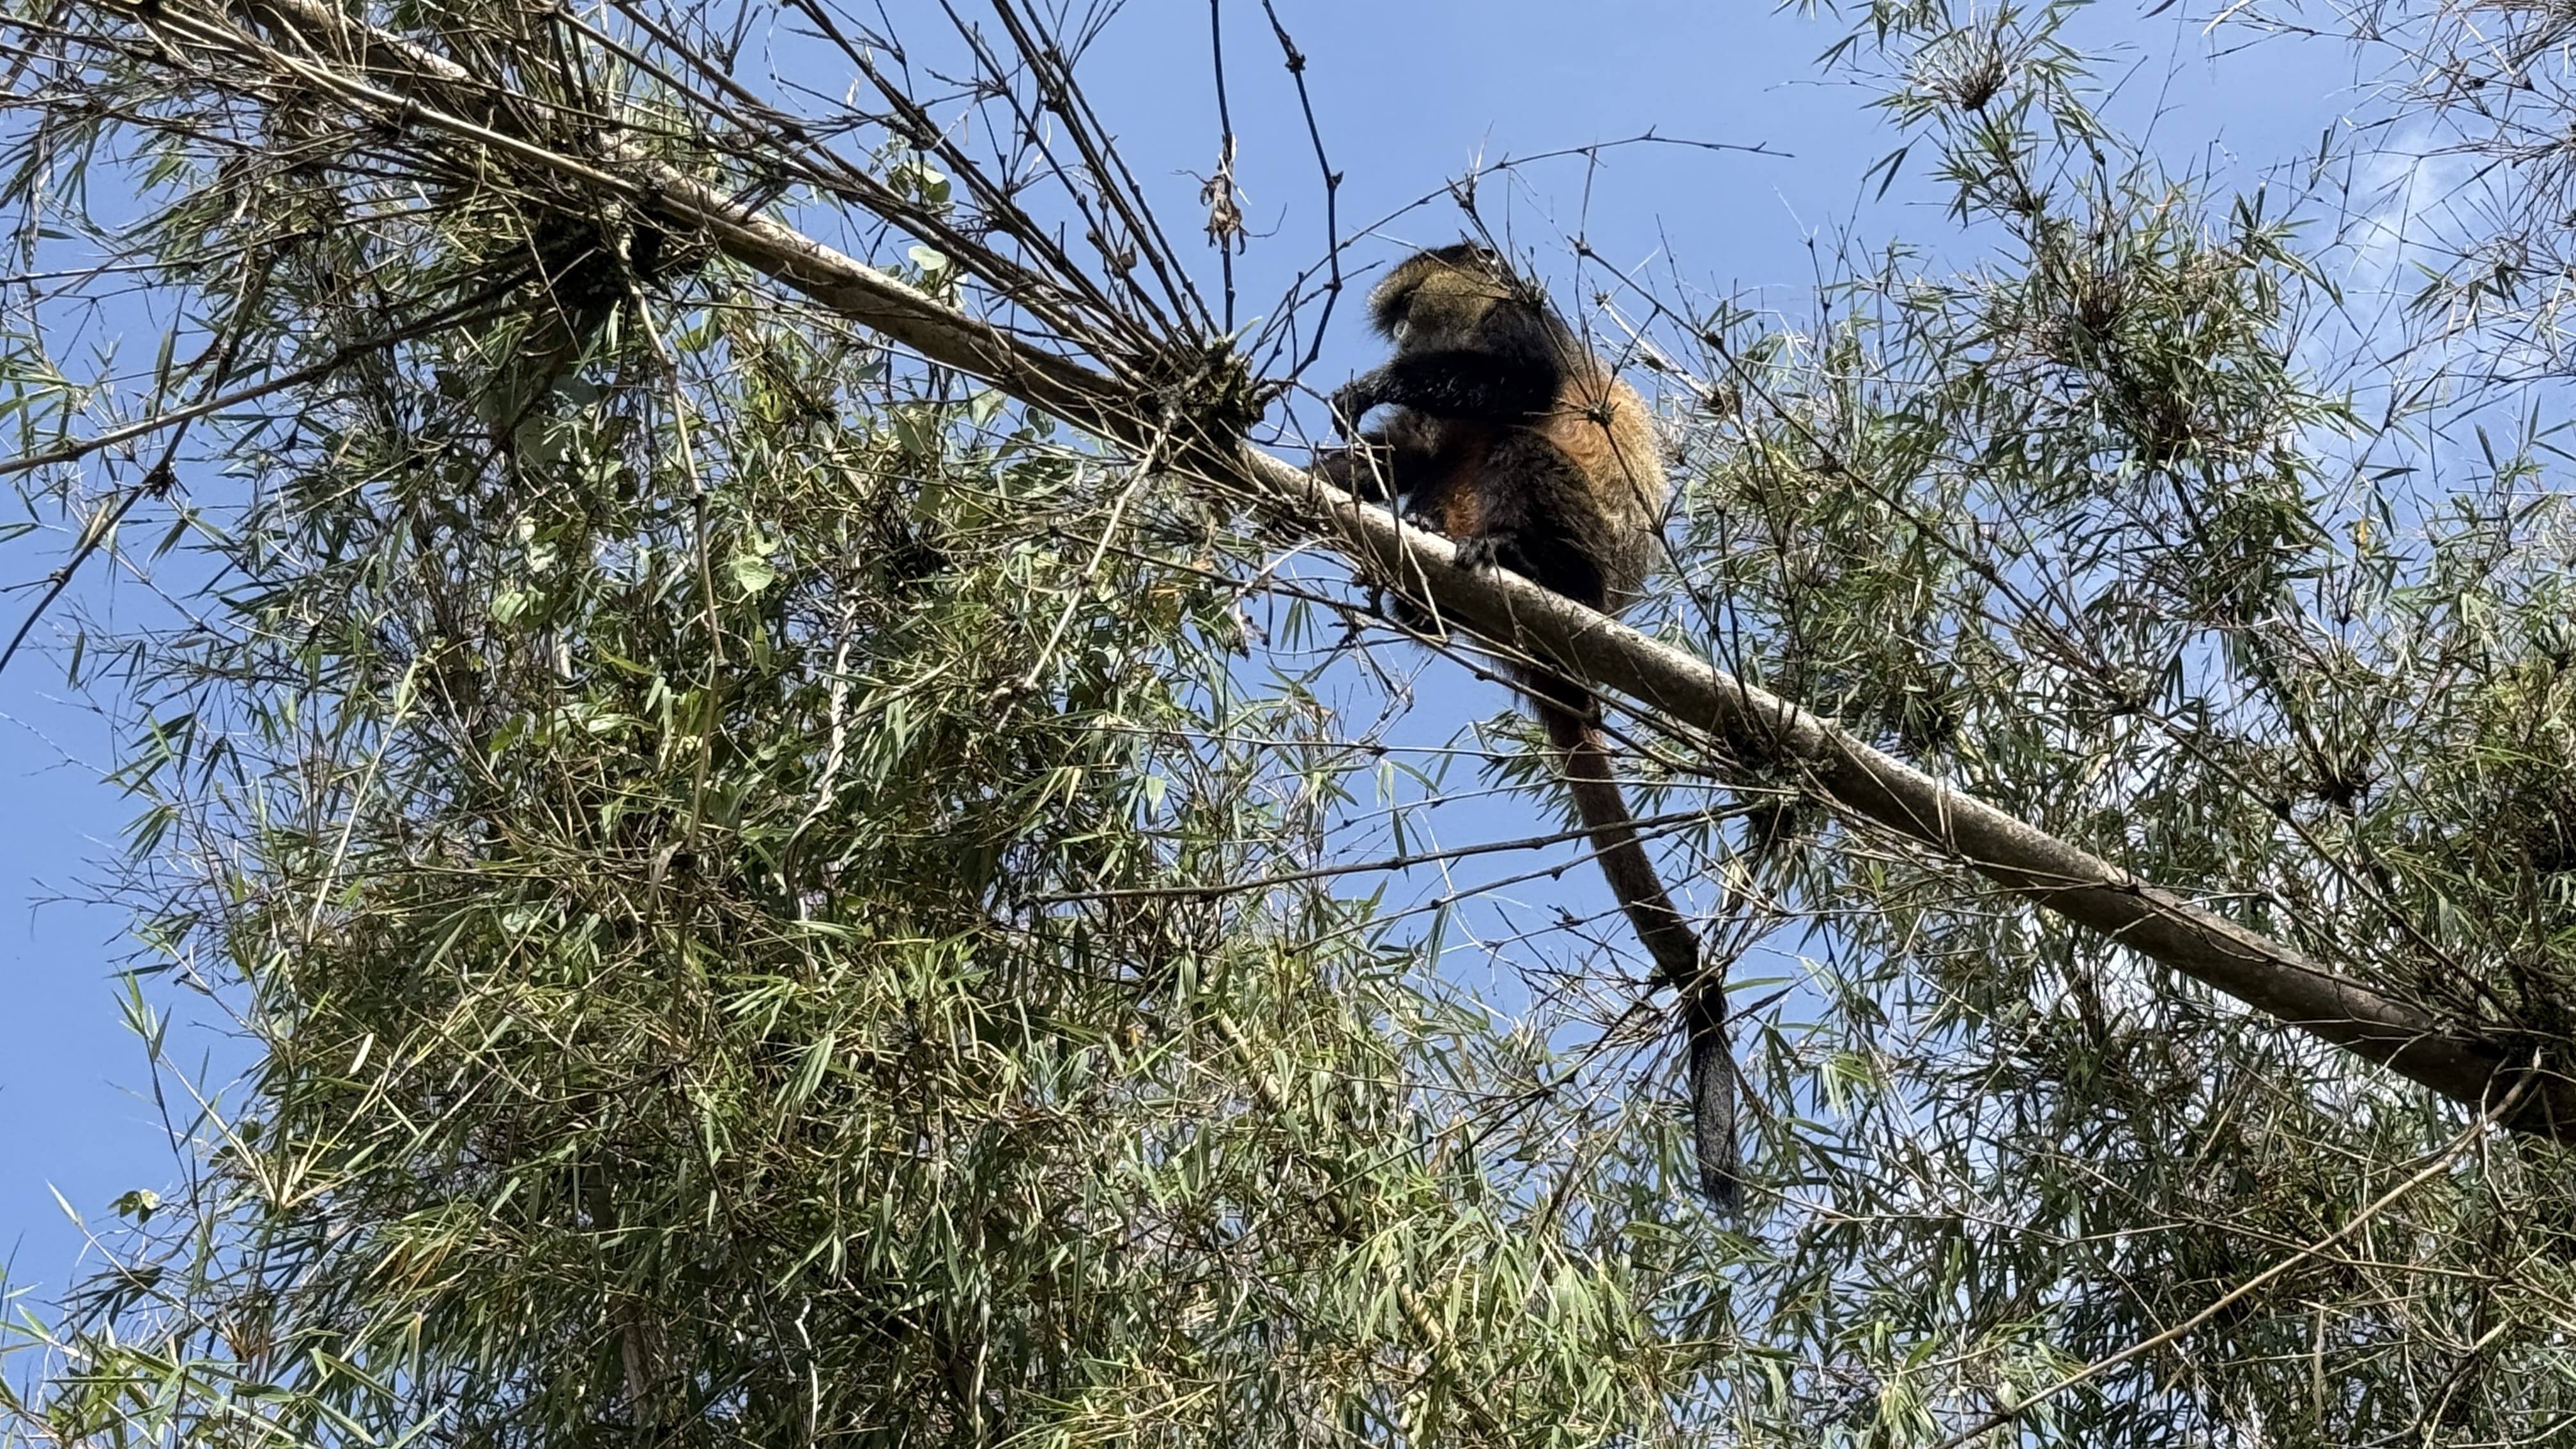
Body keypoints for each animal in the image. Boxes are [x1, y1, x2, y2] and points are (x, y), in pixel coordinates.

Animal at [1314, 241, 1740, 1212]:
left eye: (1405, 311)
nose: (1400, 336)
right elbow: (1408, 444)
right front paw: (1336, 466)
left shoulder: (1515, 324)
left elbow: (1520, 385)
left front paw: (1373, 384)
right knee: (1438, 462)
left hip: (1581, 551)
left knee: (1515, 444)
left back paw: (1510, 556)